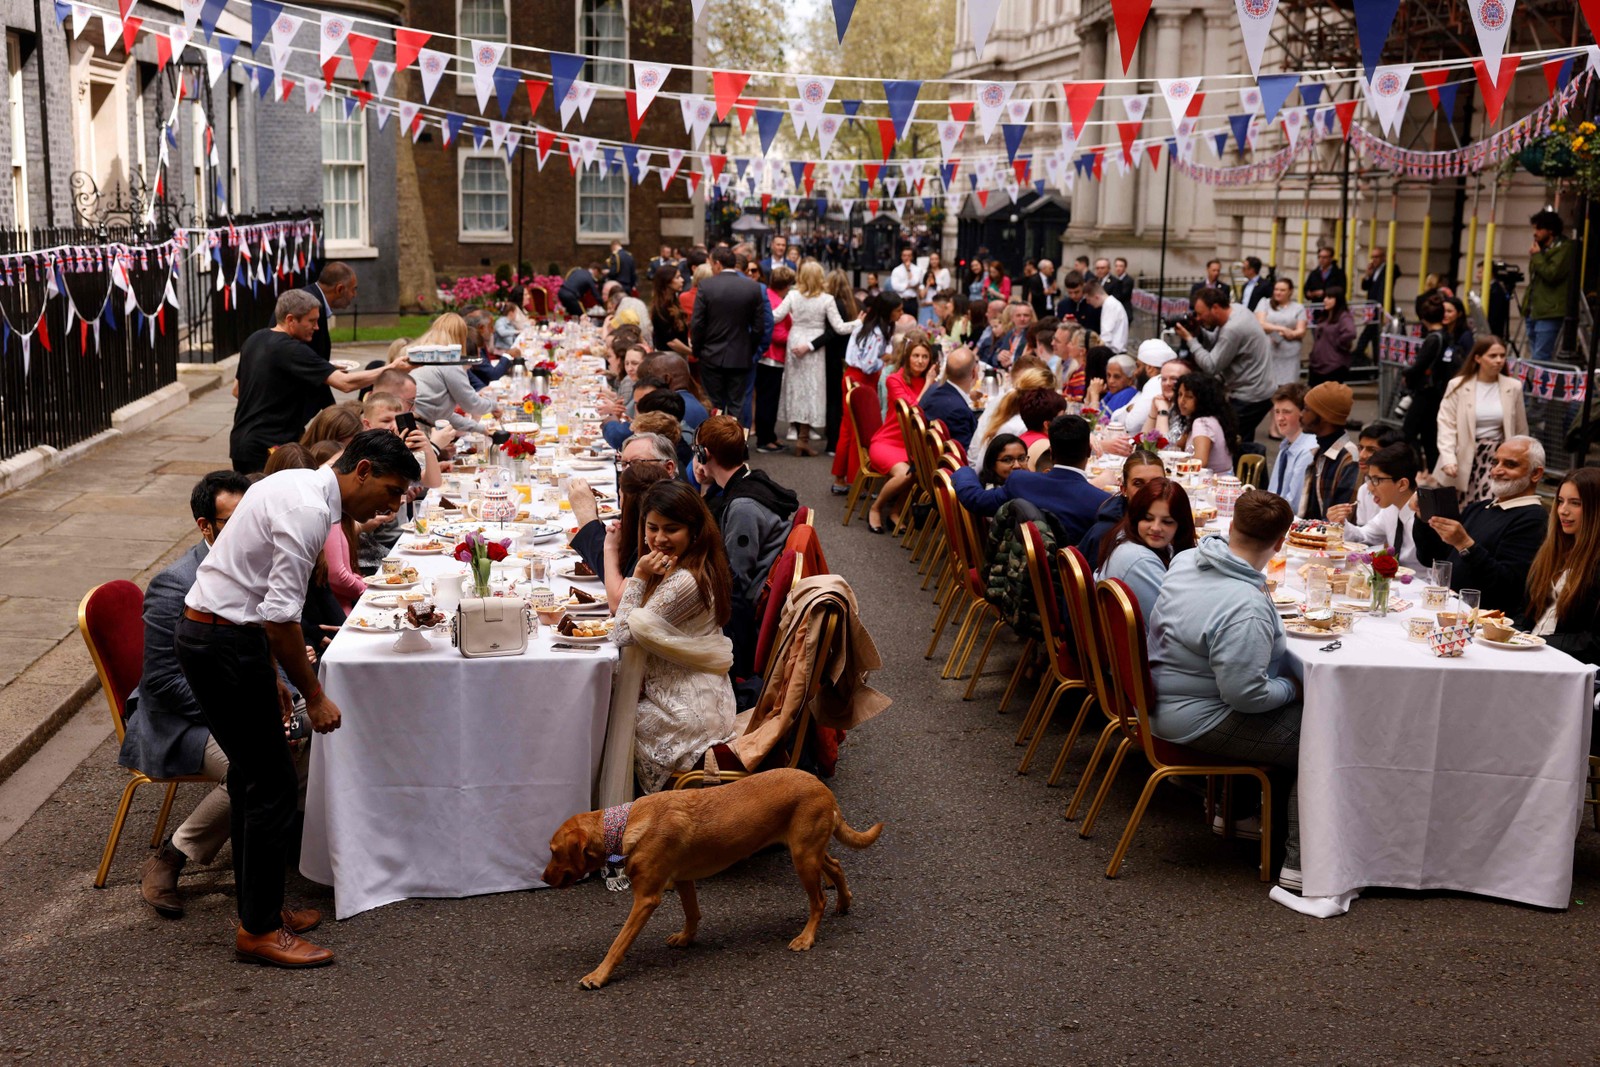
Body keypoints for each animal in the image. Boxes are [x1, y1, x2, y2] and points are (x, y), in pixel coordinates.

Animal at [544, 771, 883, 991]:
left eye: (553, 852)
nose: (543, 877)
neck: (625, 825)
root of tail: (823, 788)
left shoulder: (646, 899)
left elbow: (618, 943)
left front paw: (598, 975)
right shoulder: (683, 880)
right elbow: (692, 913)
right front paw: (686, 938)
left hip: (803, 857)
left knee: (818, 900)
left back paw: (807, 937)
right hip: (808, 851)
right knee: (836, 866)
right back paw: (844, 902)